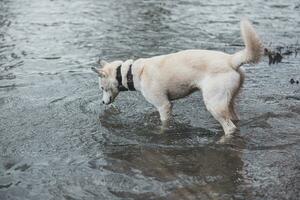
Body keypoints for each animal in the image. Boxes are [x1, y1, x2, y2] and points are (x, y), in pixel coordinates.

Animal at [91, 18, 262, 135]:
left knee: (230, 128)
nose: (102, 102)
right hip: (228, 101)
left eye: (102, 88)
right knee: (235, 120)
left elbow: (164, 124)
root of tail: (231, 60)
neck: (131, 72)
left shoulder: (164, 105)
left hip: (214, 104)